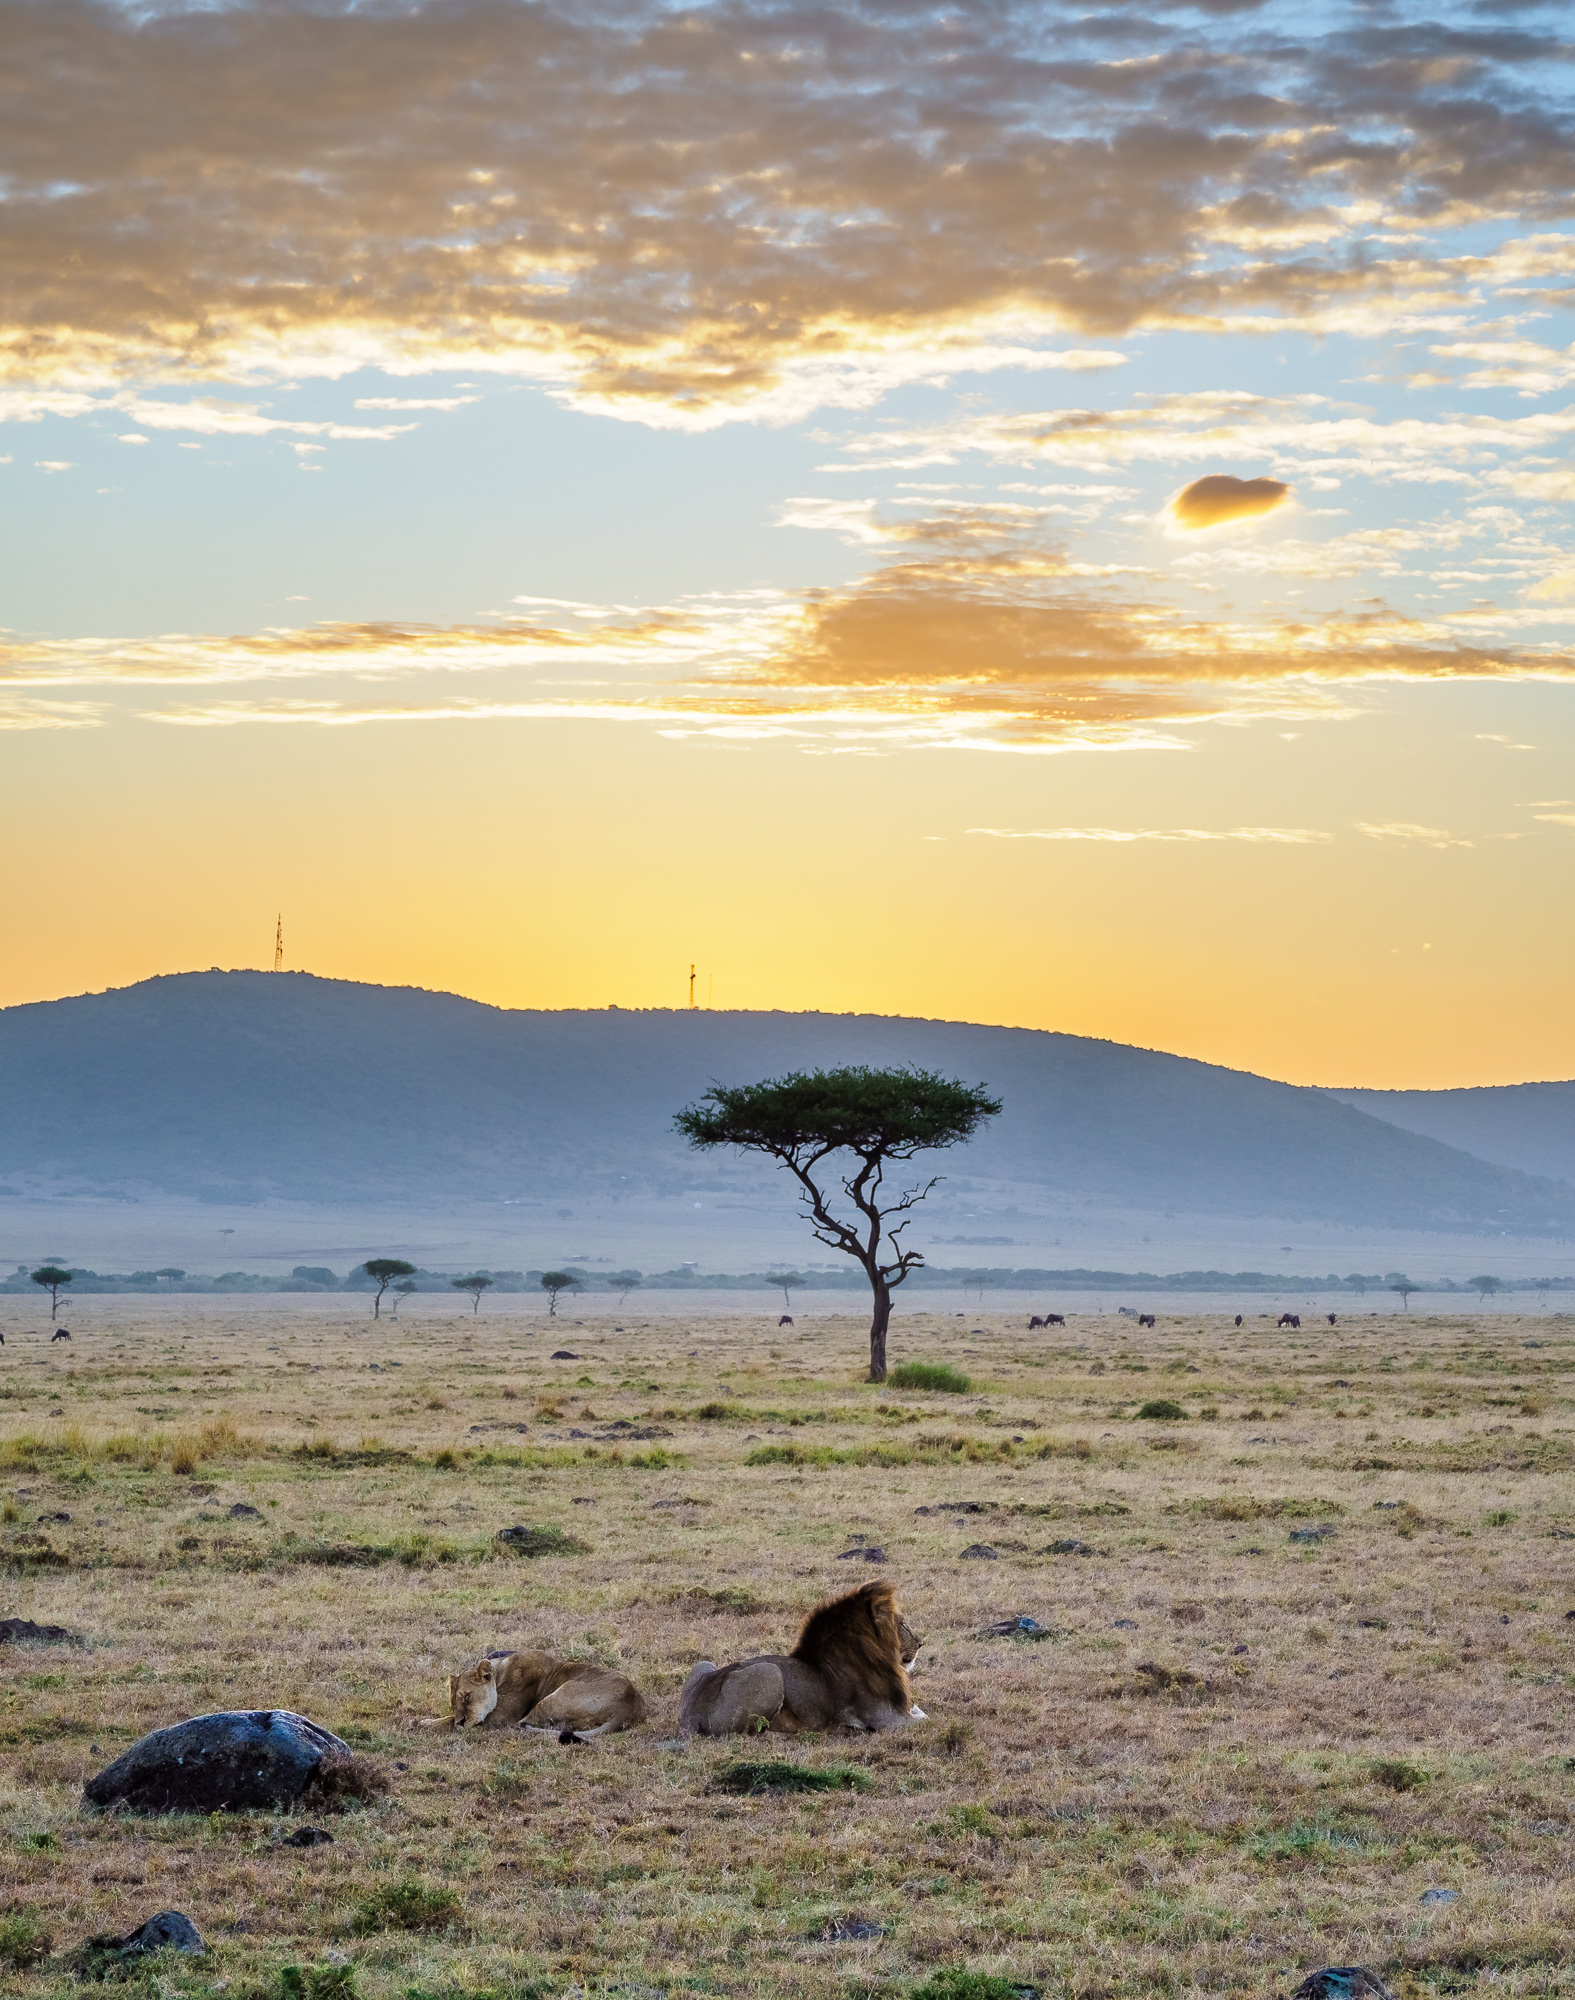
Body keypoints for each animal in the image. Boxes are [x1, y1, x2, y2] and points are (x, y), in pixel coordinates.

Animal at [448, 1650, 648, 1741]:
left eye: (467, 1696)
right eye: (453, 1704)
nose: (461, 1722)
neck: (500, 1673)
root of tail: (628, 1708)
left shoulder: (499, 1717)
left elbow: (445, 1723)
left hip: (558, 1694)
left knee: (521, 1724)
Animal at [679, 1579, 926, 1736]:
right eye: (902, 1623)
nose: (920, 1643)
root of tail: (692, 1716)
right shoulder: (885, 1719)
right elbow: (926, 1719)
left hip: (702, 1665)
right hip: (769, 1672)